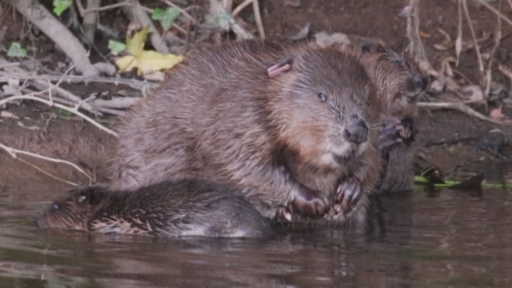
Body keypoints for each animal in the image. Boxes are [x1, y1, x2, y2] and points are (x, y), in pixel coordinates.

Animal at [113, 40, 384, 220]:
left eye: (367, 96)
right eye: (321, 96)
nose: (356, 132)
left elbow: (371, 160)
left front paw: (348, 192)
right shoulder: (240, 116)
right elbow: (249, 166)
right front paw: (316, 201)